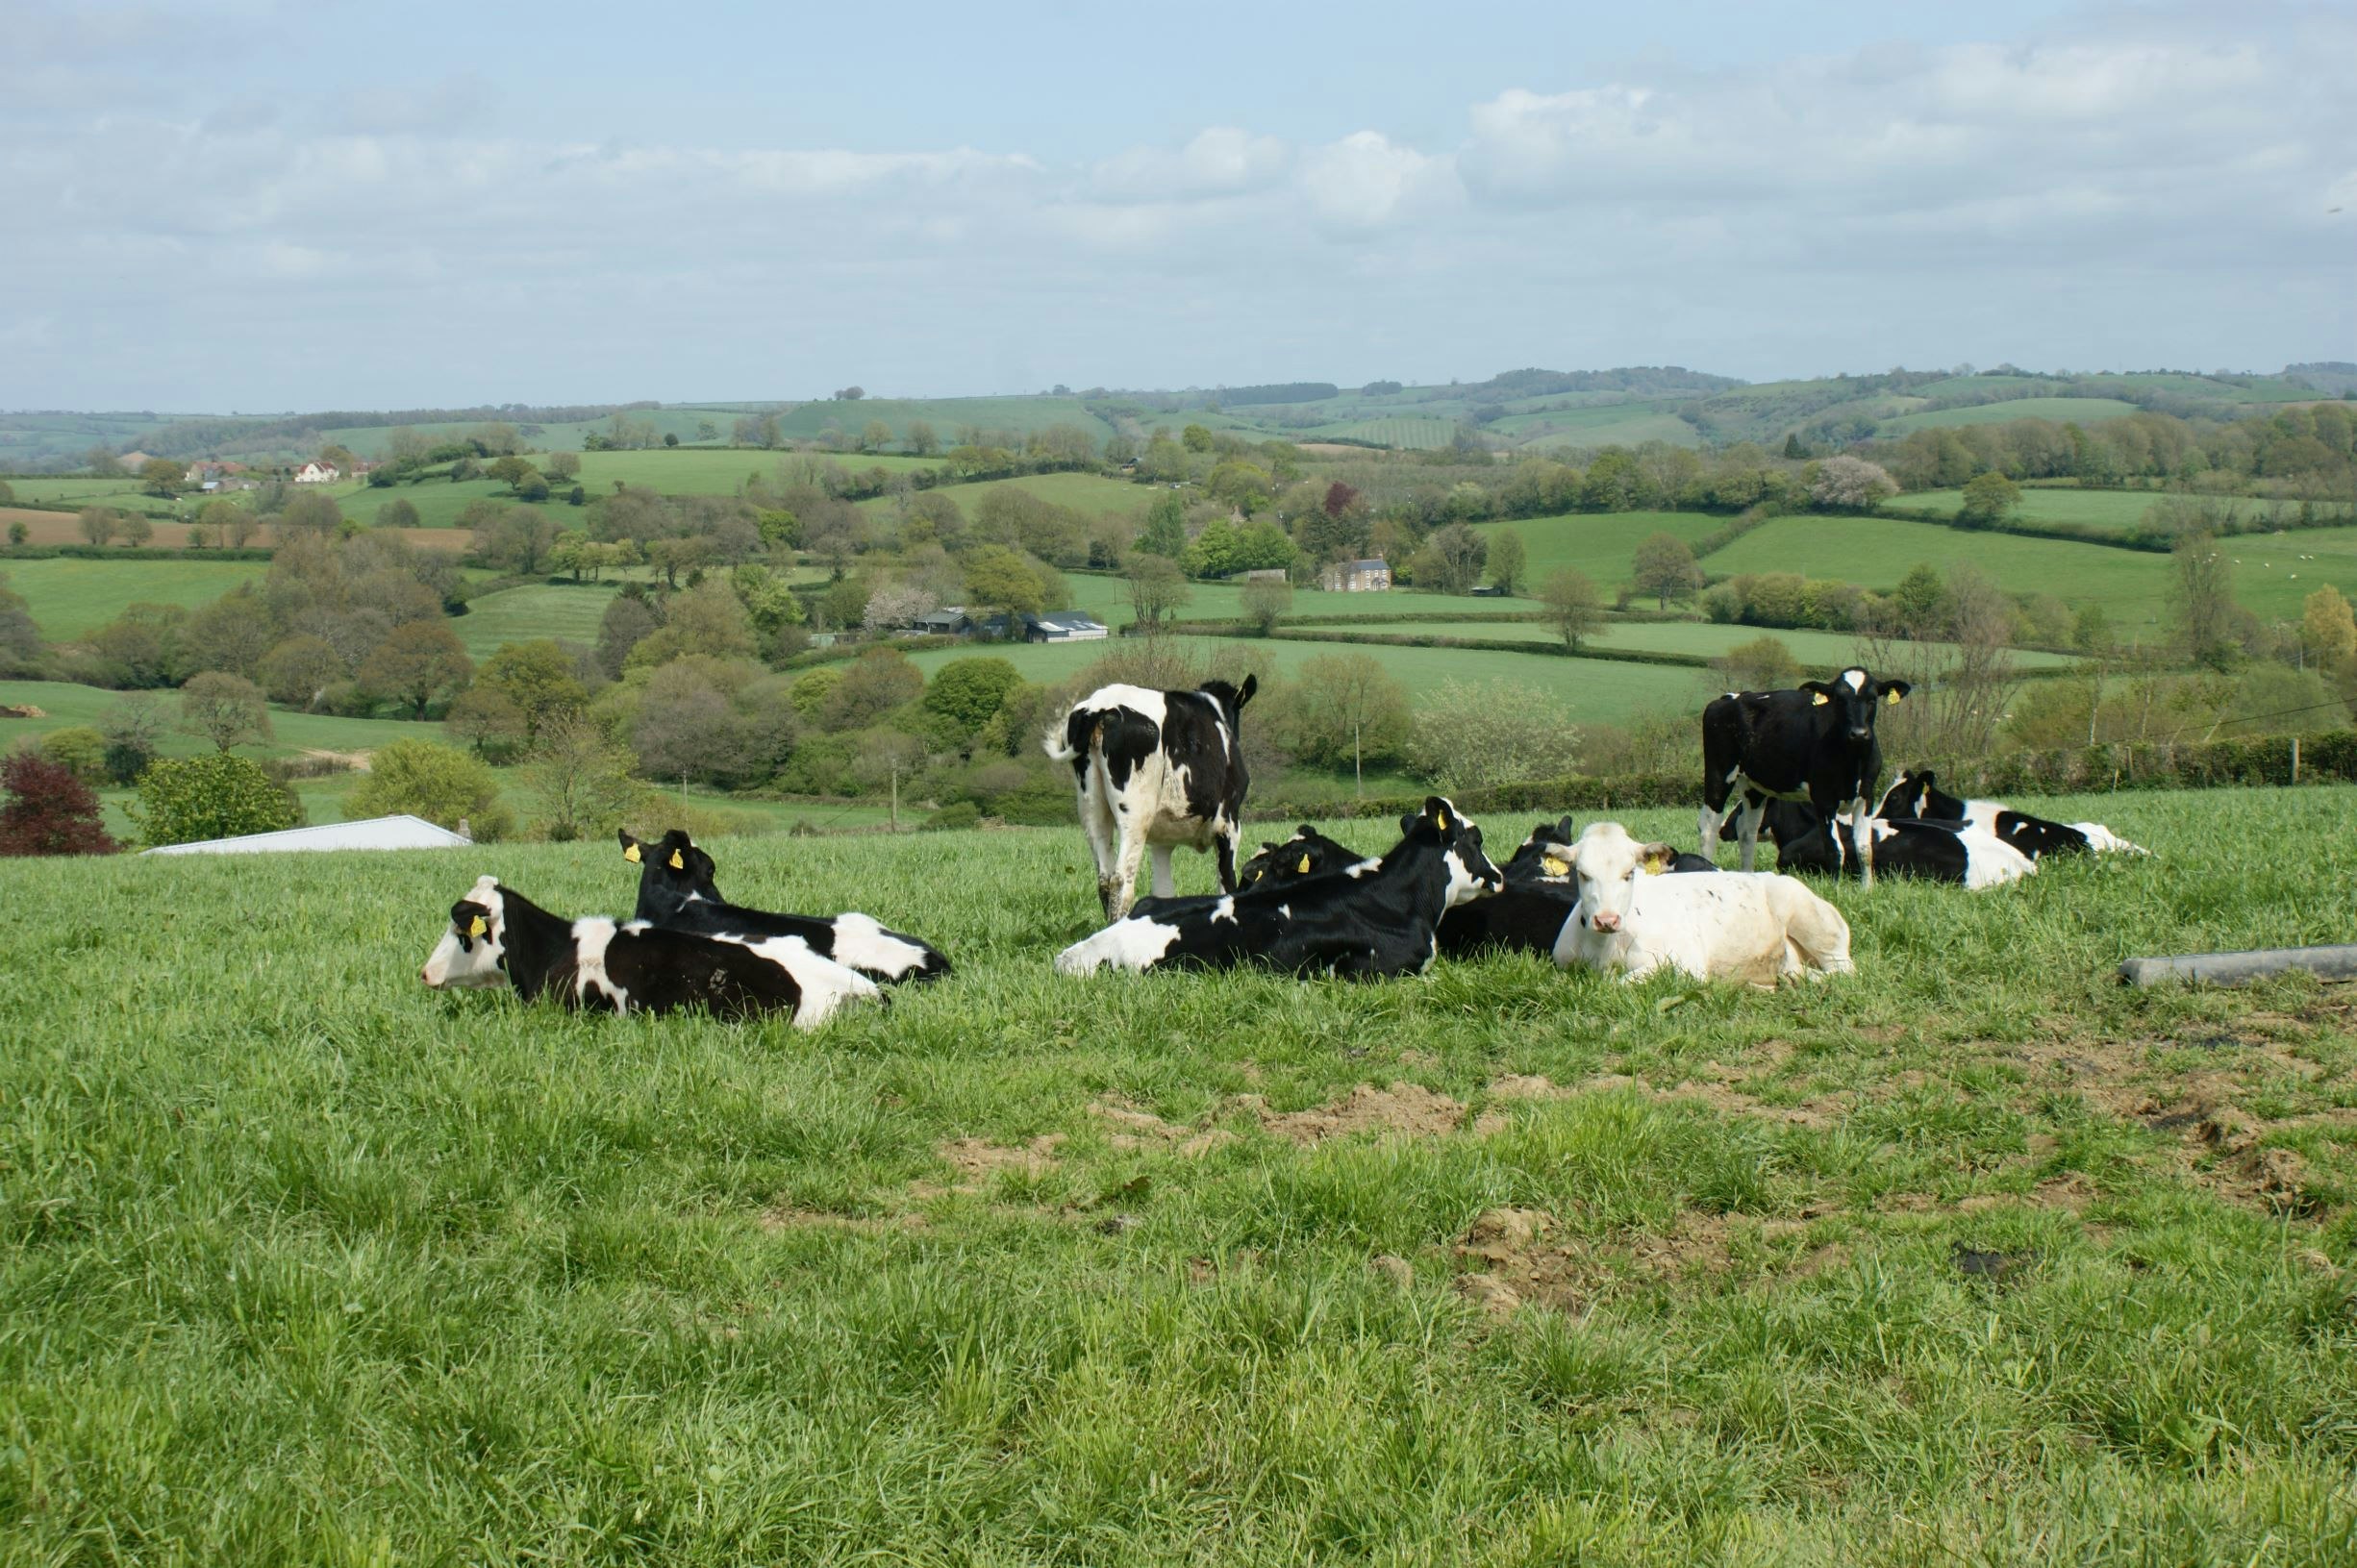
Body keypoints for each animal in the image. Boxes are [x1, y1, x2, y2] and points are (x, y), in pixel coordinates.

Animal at [1045, 676, 1257, 919]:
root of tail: (1099, 704)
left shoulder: (1163, 842)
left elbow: (1163, 892)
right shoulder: (1229, 825)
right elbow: (1227, 886)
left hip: (1091, 808)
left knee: (1104, 880)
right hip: (1136, 815)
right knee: (1120, 882)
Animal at [1552, 821, 1854, 984]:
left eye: (1629, 873)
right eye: (1583, 873)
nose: (1607, 920)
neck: (1603, 949)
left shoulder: (1687, 964)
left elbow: (1623, 982)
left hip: (1816, 925)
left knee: (1844, 970)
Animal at [1697, 667, 1911, 887]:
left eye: (1872, 699)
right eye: (1839, 699)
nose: (1859, 733)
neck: (1853, 761)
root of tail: (1732, 697)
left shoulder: (1866, 796)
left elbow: (1864, 849)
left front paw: (1866, 889)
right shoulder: (1824, 799)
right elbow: (1835, 849)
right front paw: (1836, 888)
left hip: (1754, 786)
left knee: (1747, 831)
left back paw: (1748, 875)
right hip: (1719, 772)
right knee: (1708, 827)